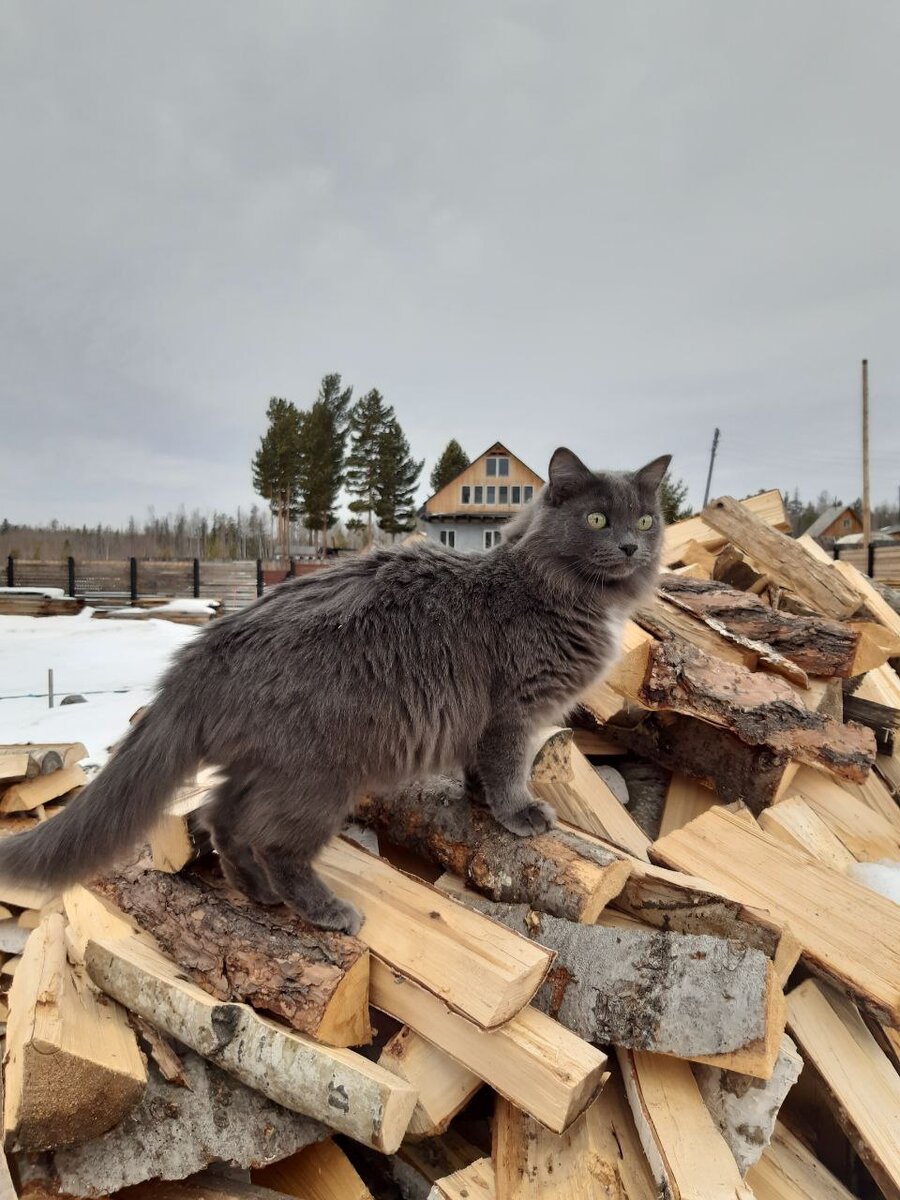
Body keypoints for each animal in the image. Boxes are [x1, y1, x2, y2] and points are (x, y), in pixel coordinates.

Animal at [0, 446, 672, 931]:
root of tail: (208, 646)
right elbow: (508, 768)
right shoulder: (513, 710)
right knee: (270, 841)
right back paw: (323, 911)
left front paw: (481, 802)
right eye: (595, 519)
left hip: (265, 764)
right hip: (319, 773)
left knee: (221, 820)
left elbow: (480, 768)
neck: (557, 592)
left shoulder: (486, 722)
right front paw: (519, 815)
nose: (631, 545)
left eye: (645, 519)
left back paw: (257, 894)